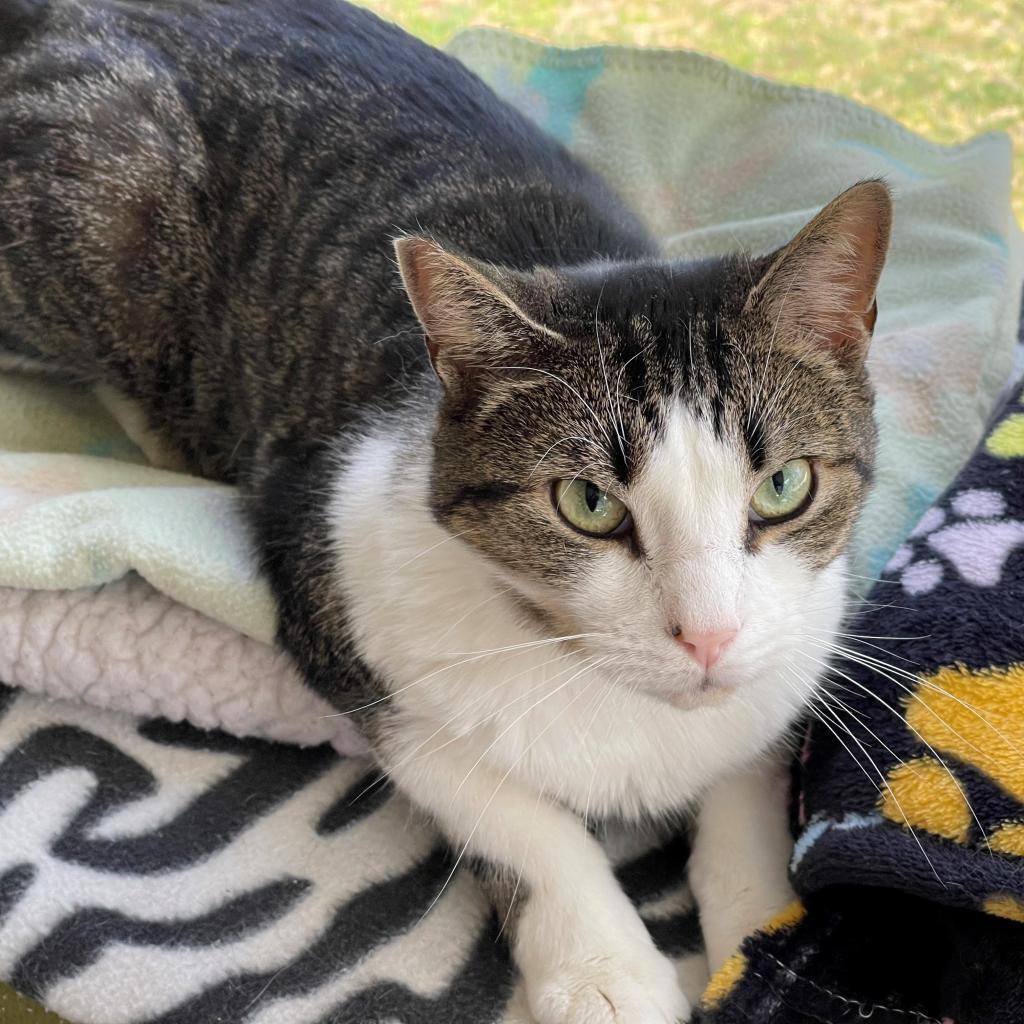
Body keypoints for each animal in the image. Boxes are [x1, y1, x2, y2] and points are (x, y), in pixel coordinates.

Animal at [0, 0, 892, 1019]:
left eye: (785, 486)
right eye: (589, 503)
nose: (707, 637)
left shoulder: (792, 647)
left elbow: (748, 768)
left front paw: (762, 934)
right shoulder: (337, 586)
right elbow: (503, 807)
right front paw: (604, 969)